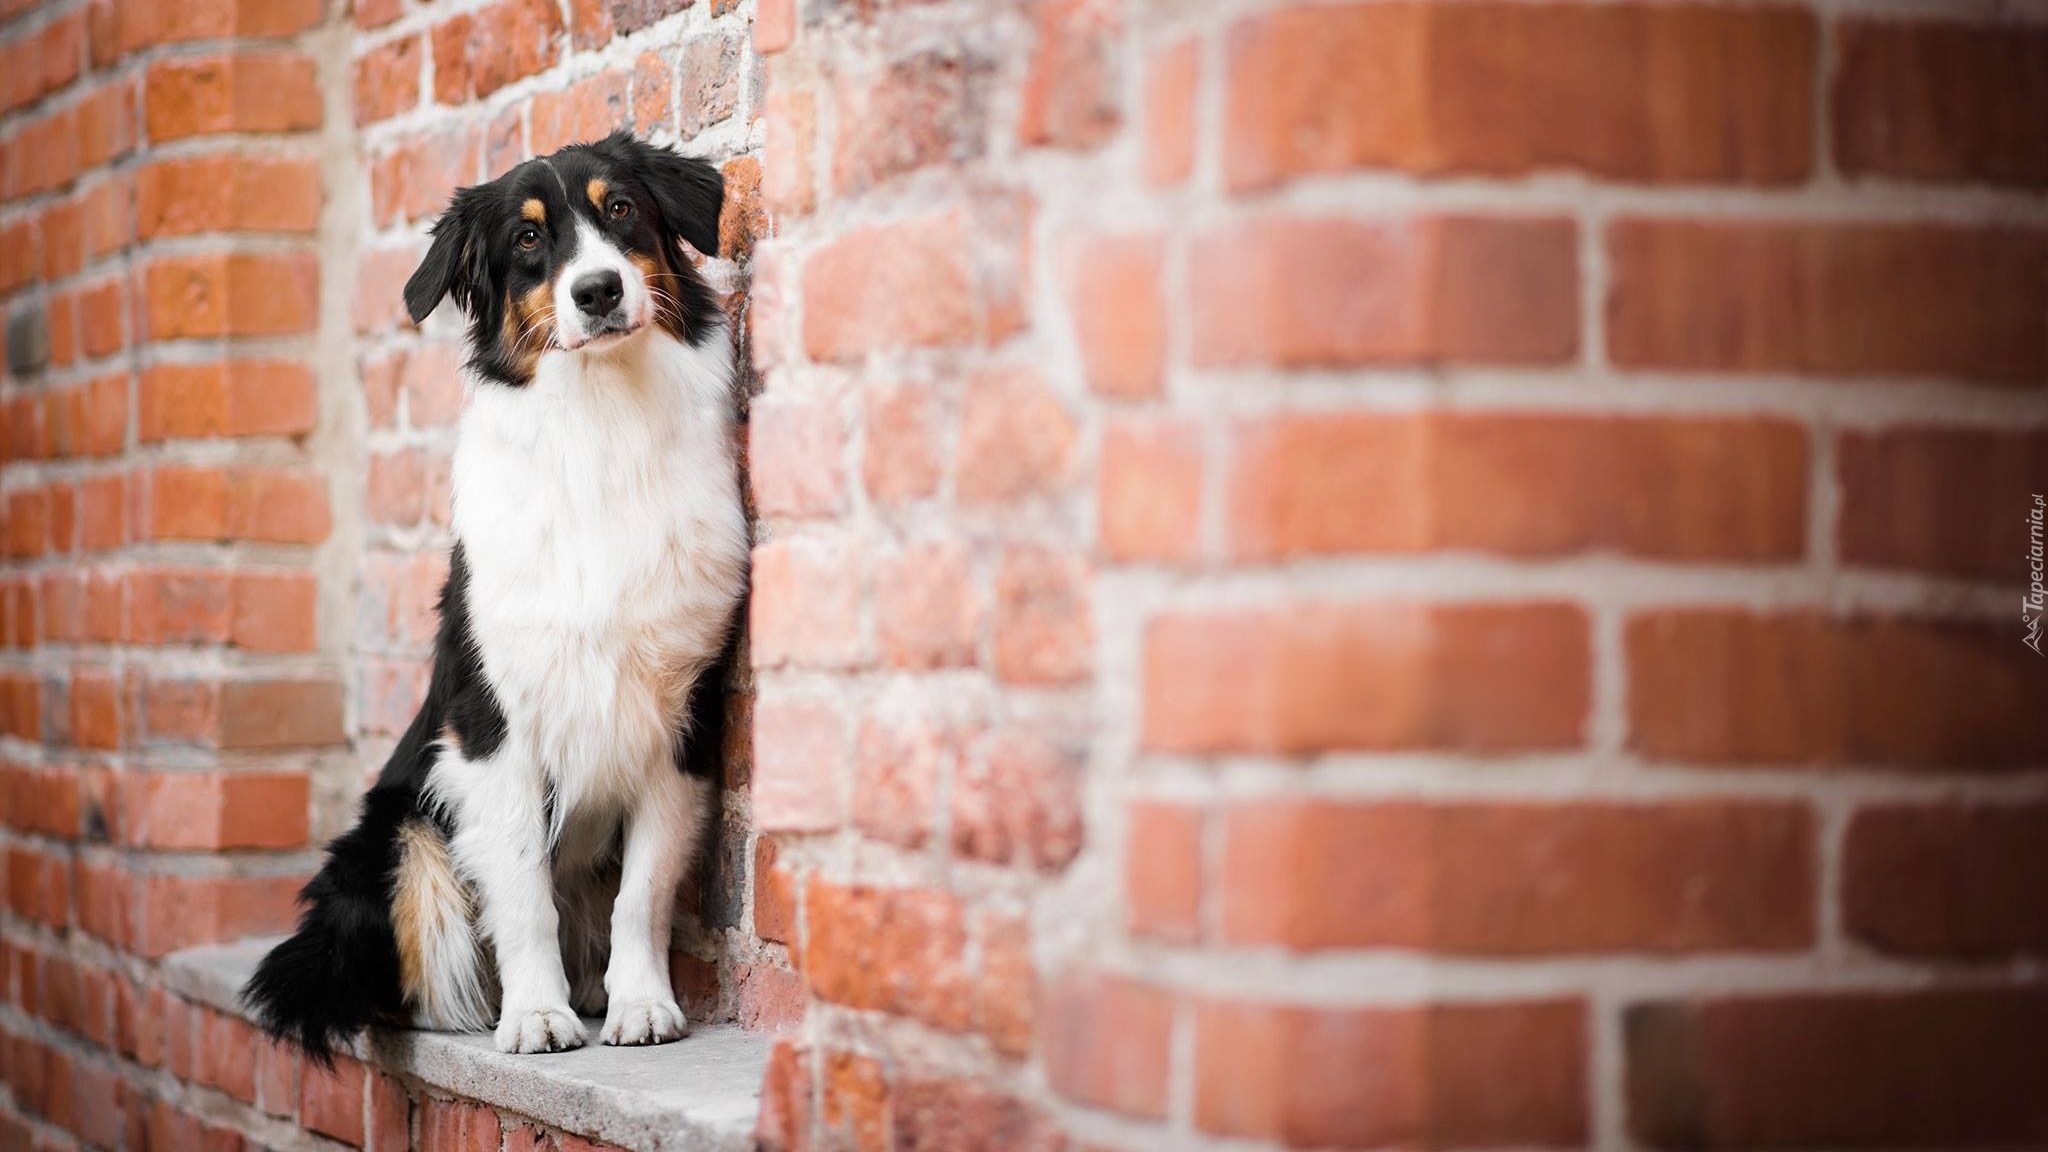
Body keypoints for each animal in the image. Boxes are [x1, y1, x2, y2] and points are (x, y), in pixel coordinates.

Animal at [243, 130, 749, 1057]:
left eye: (622, 208)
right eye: (528, 238)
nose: (598, 290)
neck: (600, 418)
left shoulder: (682, 715)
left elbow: (644, 889)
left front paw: (639, 1004)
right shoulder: (491, 726)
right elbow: (521, 891)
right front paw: (538, 1015)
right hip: (403, 833)